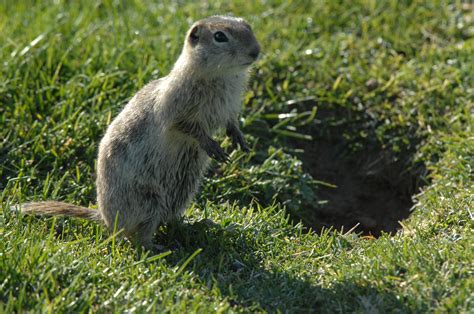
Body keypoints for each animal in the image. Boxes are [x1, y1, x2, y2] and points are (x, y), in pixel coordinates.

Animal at [20, 15, 262, 251]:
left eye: (248, 26)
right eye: (220, 36)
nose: (256, 51)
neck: (223, 77)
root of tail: (106, 219)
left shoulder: (229, 107)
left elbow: (231, 121)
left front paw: (239, 139)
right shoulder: (176, 106)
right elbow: (187, 127)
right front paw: (212, 146)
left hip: (183, 191)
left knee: (170, 219)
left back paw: (199, 225)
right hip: (148, 201)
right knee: (137, 235)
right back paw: (156, 247)